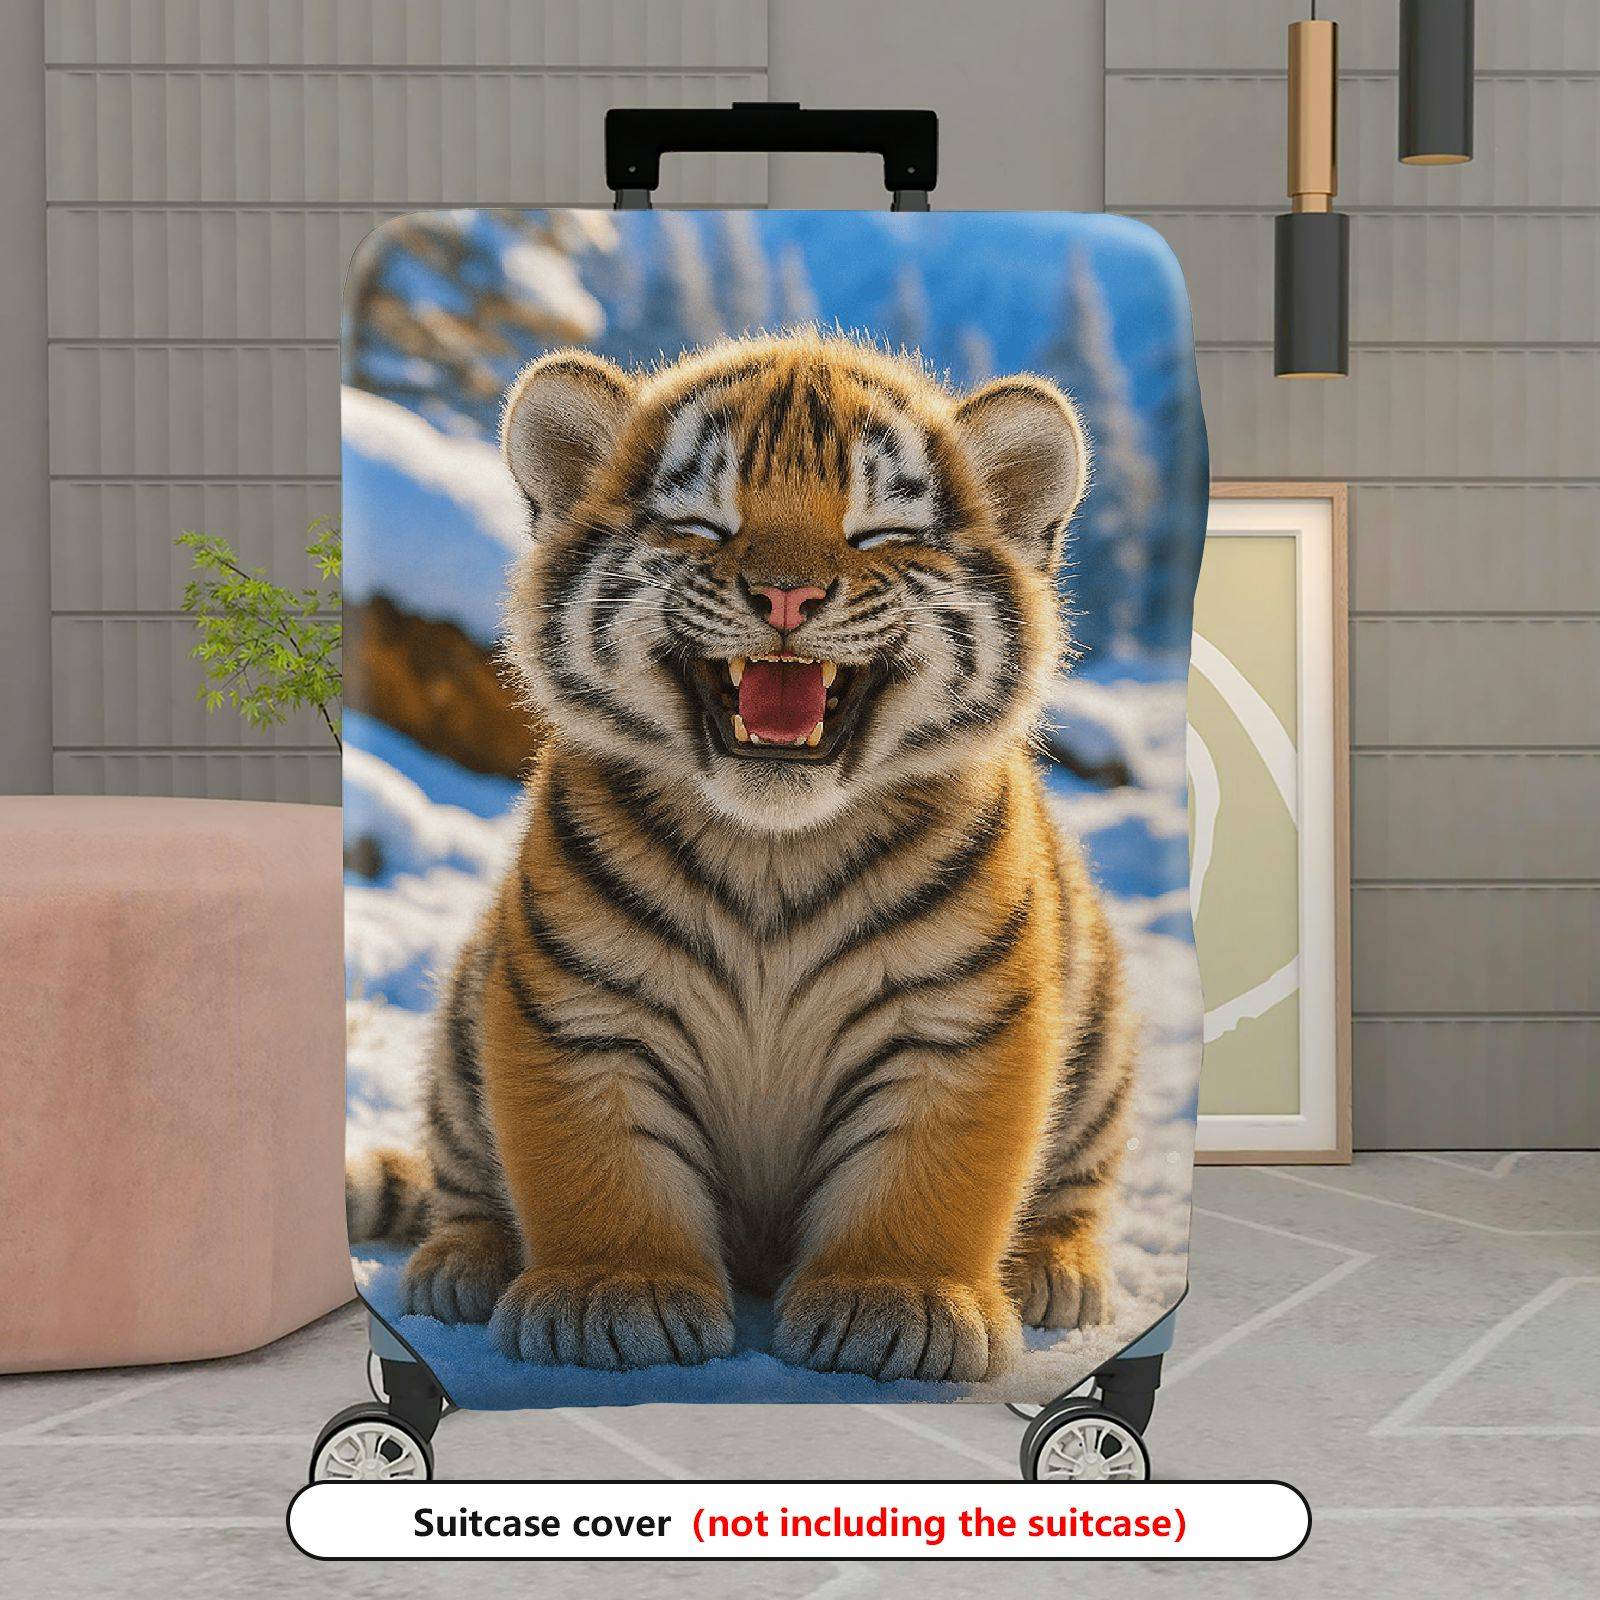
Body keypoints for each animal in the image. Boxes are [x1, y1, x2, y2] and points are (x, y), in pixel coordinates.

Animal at [346, 331, 1136, 1383]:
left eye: (880, 533)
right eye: (702, 524)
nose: (787, 597)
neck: (774, 850)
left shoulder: (956, 1024)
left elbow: (925, 1182)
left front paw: (897, 1305)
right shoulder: (584, 1011)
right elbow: (599, 1169)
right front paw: (612, 1297)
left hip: (1100, 1053)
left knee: (1074, 1191)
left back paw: (1054, 1273)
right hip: (462, 1025)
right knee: (461, 1184)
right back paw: (460, 1267)